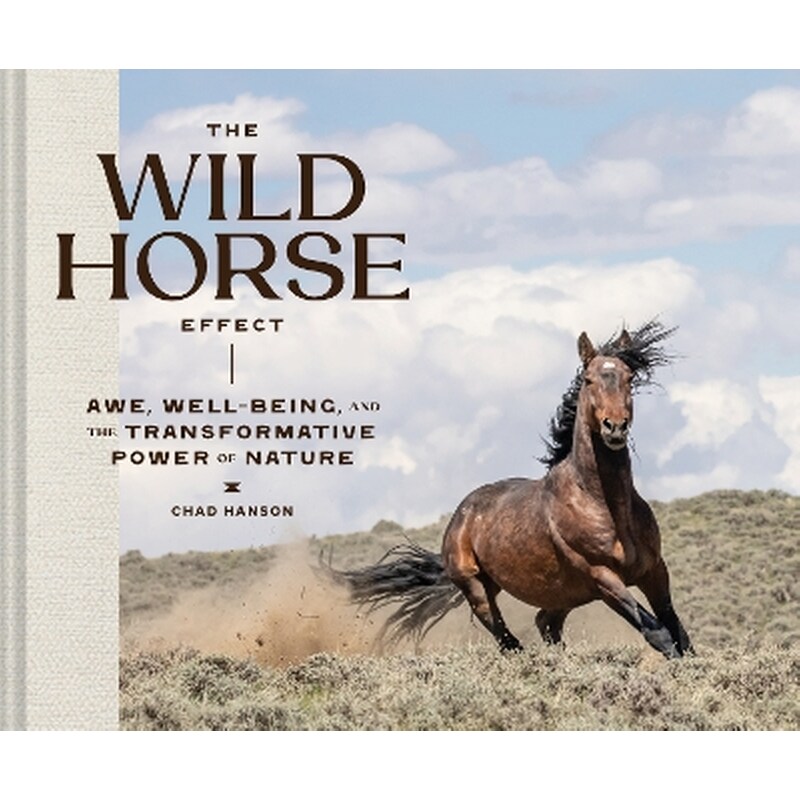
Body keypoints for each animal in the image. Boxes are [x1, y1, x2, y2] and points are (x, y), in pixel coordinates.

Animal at [330, 320, 693, 659]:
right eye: (589, 379)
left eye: (630, 377)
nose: (614, 427)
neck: (605, 505)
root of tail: (460, 517)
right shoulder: (603, 577)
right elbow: (659, 634)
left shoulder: (654, 571)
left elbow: (679, 634)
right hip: (478, 588)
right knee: (506, 637)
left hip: (565, 593)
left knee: (544, 623)